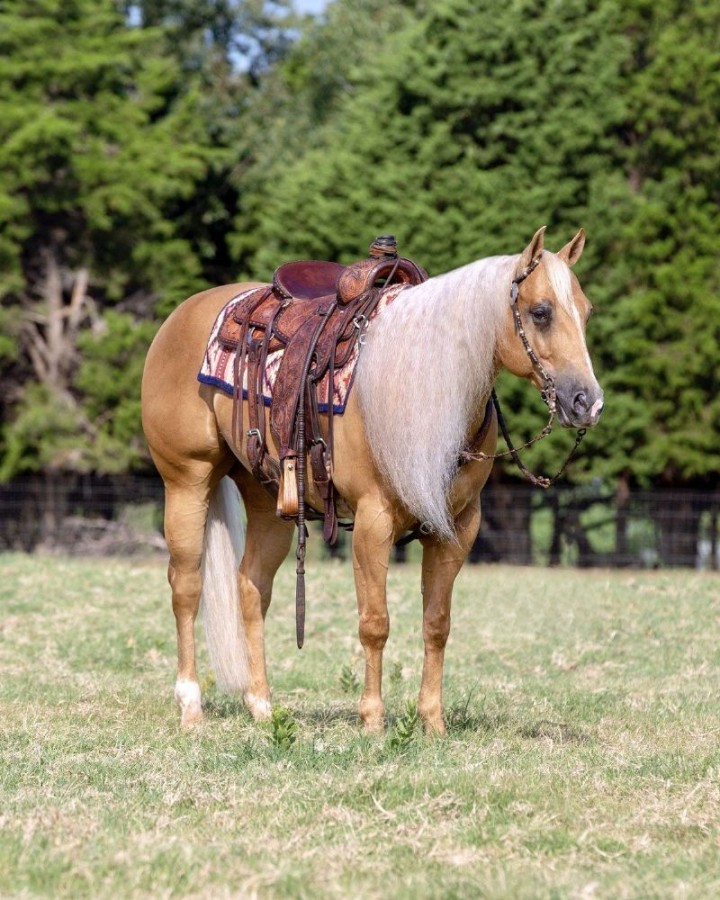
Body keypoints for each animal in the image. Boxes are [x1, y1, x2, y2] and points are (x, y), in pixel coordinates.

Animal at [141, 226, 604, 734]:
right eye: (541, 312)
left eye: (587, 311)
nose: (588, 402)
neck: (422, 389)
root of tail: (183, 314)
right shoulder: (372, 521)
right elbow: (375, 623)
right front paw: (373, 721)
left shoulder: (458, 528)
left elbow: (437, 624)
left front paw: (432, 722)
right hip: (187, 481)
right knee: (186, 586)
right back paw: (191, 706)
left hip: (268, 499)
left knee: (250, 587)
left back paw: (261, 705)